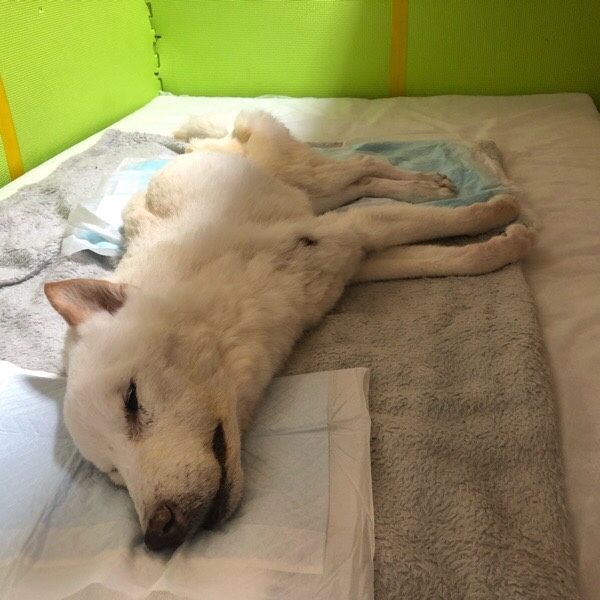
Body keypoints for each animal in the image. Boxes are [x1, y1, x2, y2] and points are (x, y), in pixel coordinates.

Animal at [44, 111, 536, 551]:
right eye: (112, 473)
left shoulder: (343, 231)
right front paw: (504, 240)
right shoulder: (355, 258)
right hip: (316, 196)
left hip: (311, 180)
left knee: (363, 163)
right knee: (363, 182)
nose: (158, 537)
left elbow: (455, 225)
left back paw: (426, 185)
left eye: (132, 400)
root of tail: (199, 146)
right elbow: (452, 257)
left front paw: (505, 211)